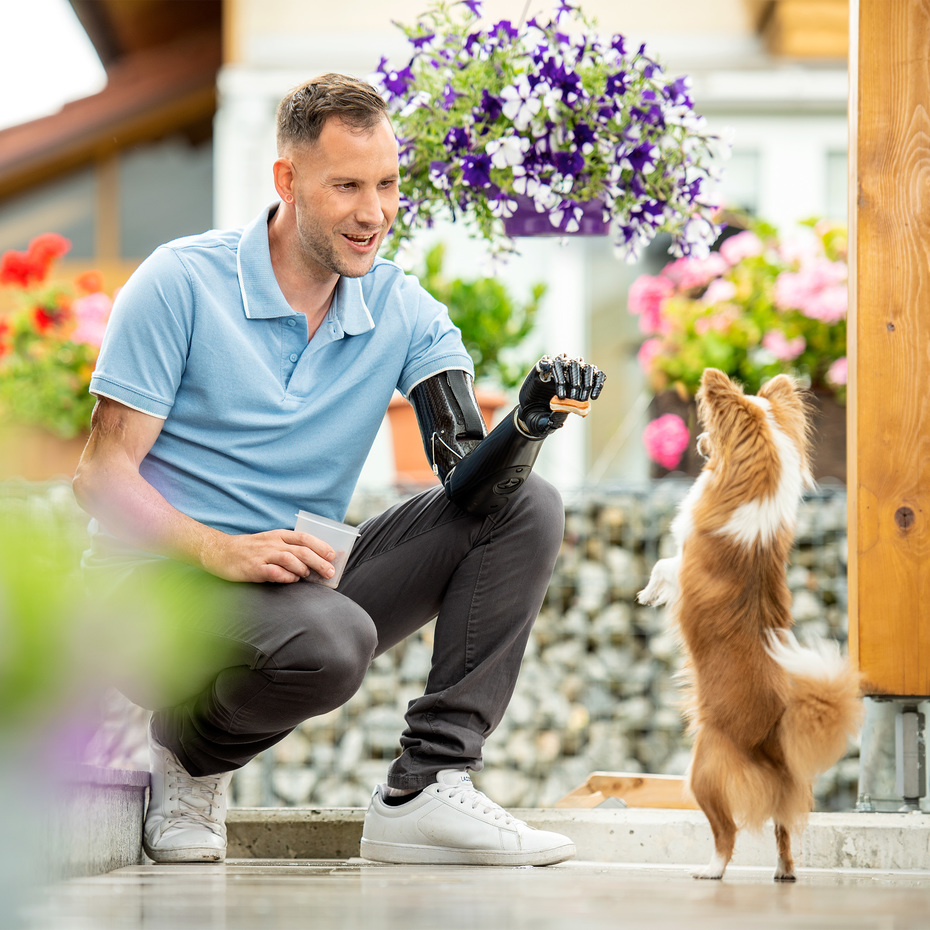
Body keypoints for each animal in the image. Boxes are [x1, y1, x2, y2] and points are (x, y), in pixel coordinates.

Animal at [636, 364, 860, 876]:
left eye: (713, 432)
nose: (700, 440)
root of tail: (777, 740)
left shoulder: (684, 563)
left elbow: (663, 565)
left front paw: (648, 594)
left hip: (701, 771)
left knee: (728, 833)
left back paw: (711, 869)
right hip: (781, 799)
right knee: (783, 829)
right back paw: (784, 871)